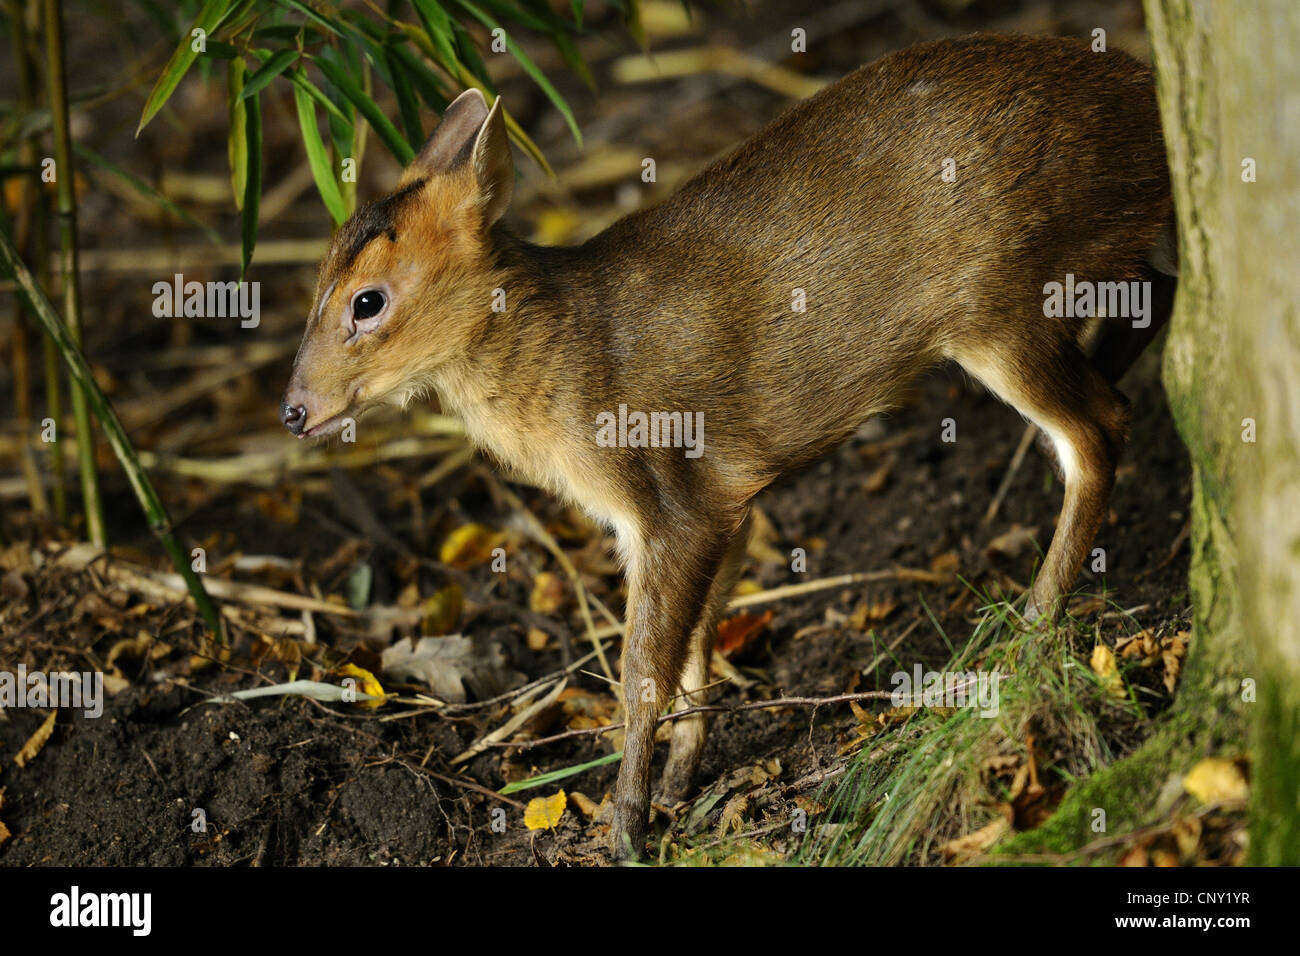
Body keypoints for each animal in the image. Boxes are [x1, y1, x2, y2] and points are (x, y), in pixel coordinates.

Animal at [284, 35, 1180, 858]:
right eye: (317, 281)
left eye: (367, 301)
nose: (294, 410)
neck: (567, 356)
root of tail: (1143, 92)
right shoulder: (722, 499)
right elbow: (698, 641)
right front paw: (682, 779)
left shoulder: (668, 495)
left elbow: (642, 670)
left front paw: (628, 826)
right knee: (1154, 299)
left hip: (1002, 296)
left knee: (1100, 428)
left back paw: (1028, 633)